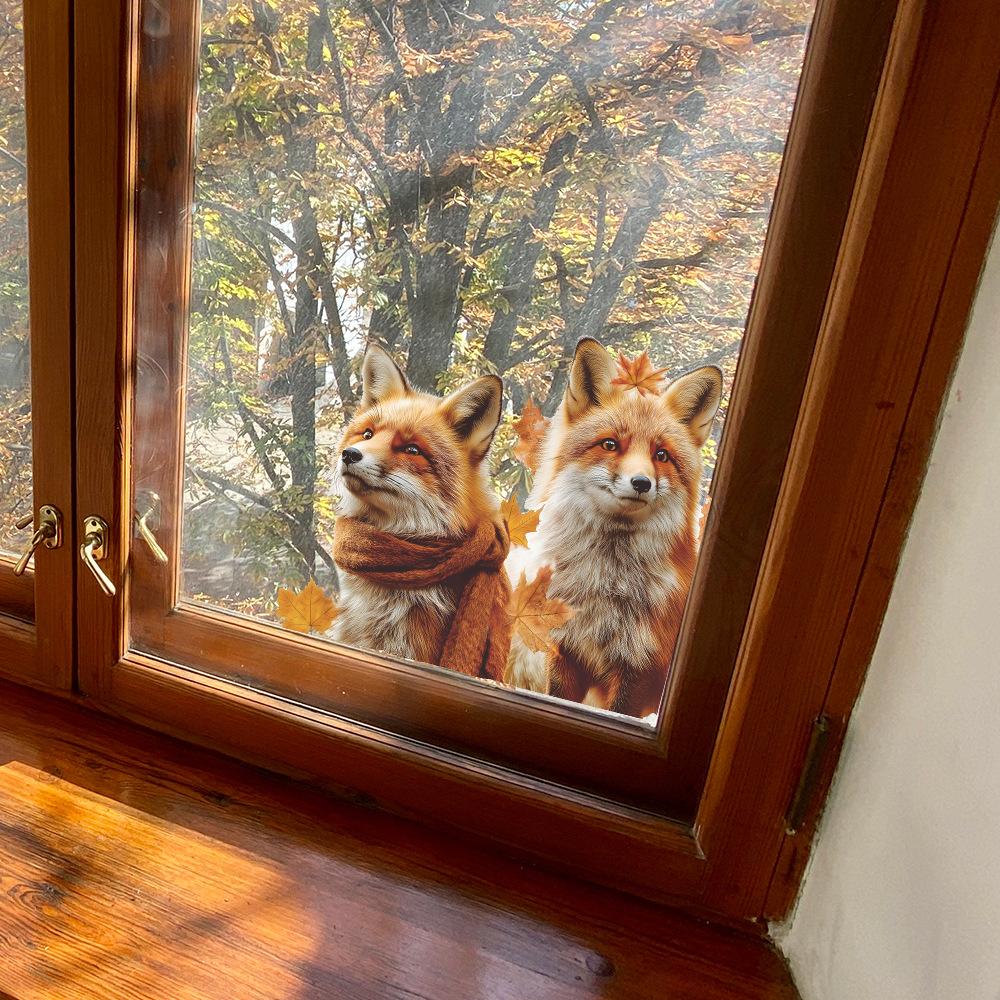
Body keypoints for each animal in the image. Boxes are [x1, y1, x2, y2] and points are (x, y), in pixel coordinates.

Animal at [506, 337, 722, 718]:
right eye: (610, 444)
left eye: (661, 455)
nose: (641, 483)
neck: (604, 589)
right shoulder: (563, 652)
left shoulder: (640, 673)